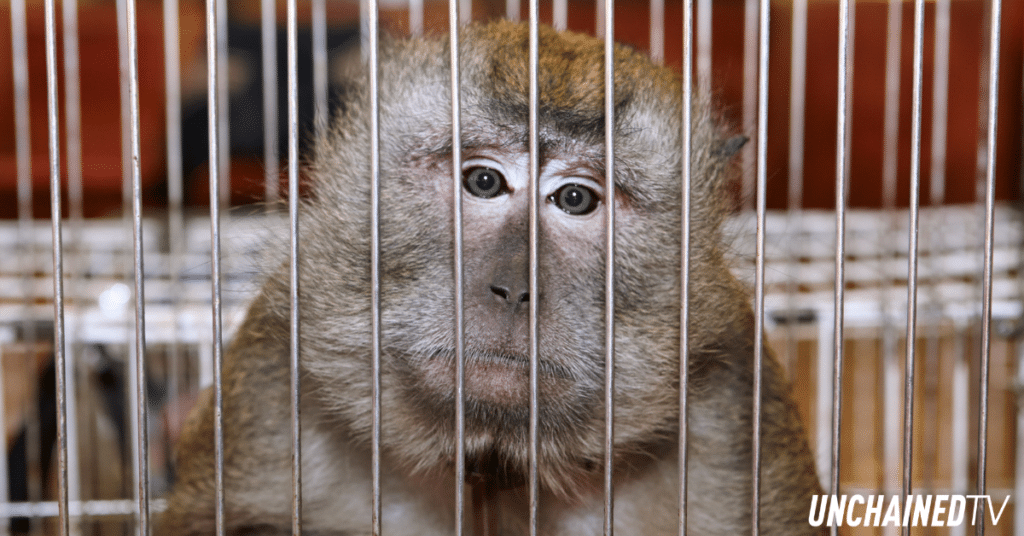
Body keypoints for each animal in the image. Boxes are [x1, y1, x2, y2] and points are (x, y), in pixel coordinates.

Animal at [159, 21, 826, 536]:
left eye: (576, 199)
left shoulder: (737, 412)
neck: (493, 466)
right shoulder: (272, 381)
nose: (515, 290)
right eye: (483, 181)